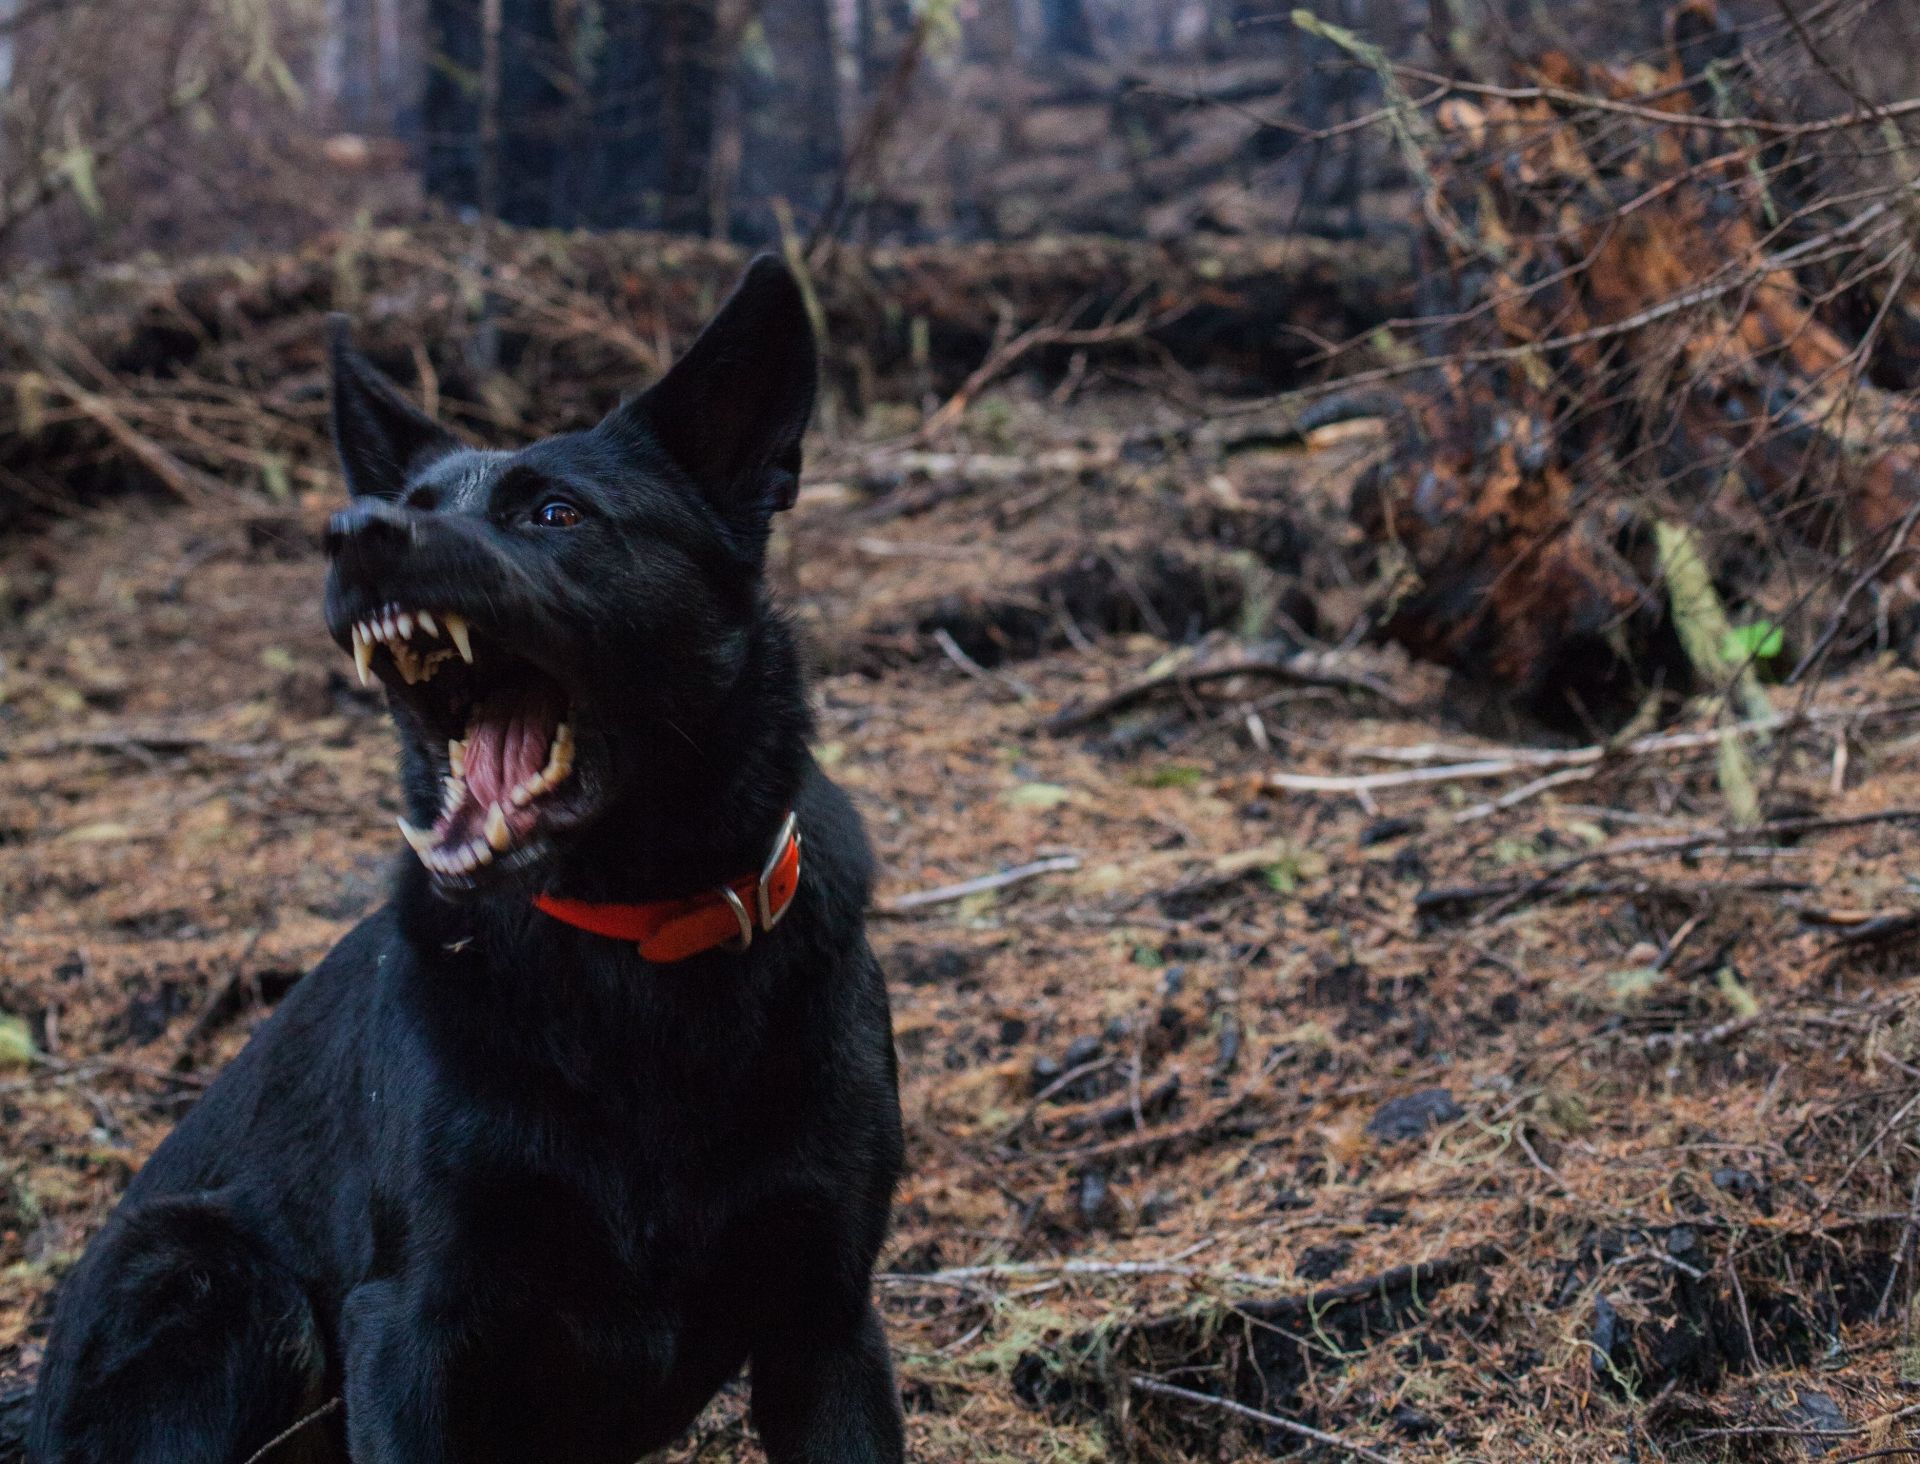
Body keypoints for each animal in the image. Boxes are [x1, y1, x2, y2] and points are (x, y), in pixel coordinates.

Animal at [26, 257, 902, 1452]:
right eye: (413, 505)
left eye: (555, 512)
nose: (353, 529)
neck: (632, 942)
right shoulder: (413, 1323)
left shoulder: (828, 1323)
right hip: (215, 1276)